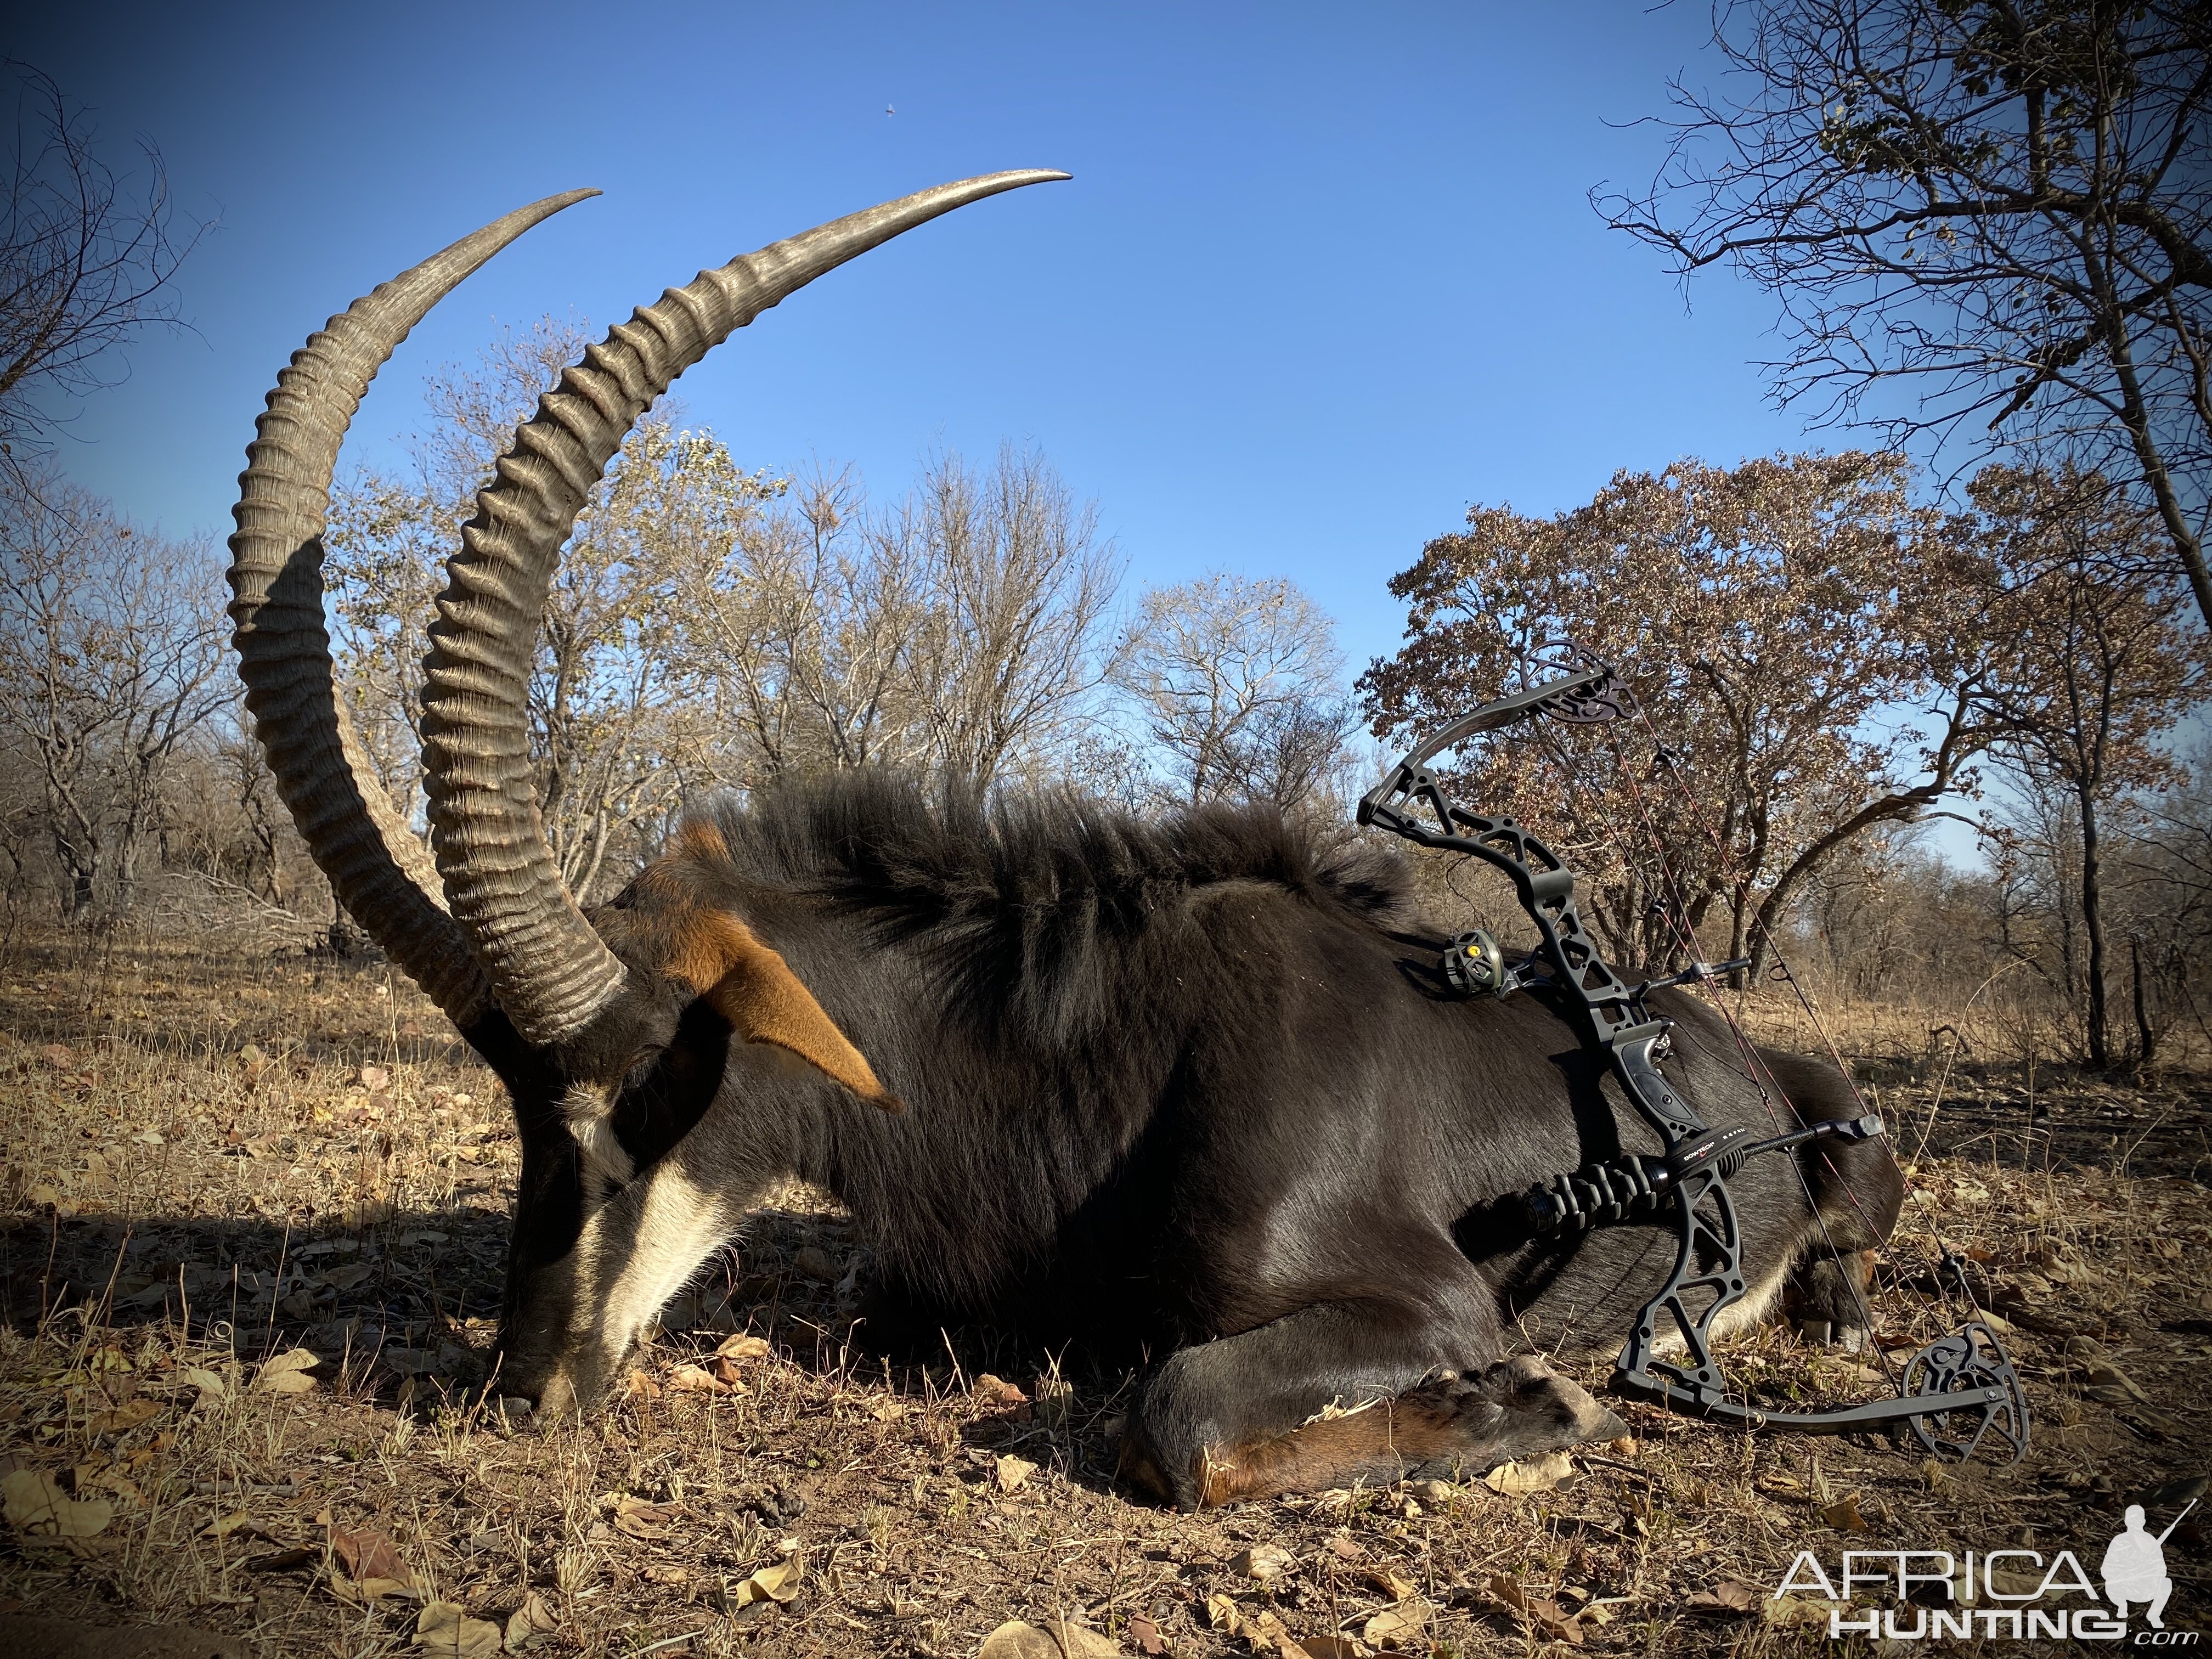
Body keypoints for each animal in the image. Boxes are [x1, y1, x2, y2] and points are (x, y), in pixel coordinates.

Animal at [229, 176, 1902, 1513]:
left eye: (646, 1082)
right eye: (520, 1101)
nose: (530, 1381)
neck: (1110, 1056)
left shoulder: (1423, 1300)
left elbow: (1177, 1413)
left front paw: (1538, 1401)